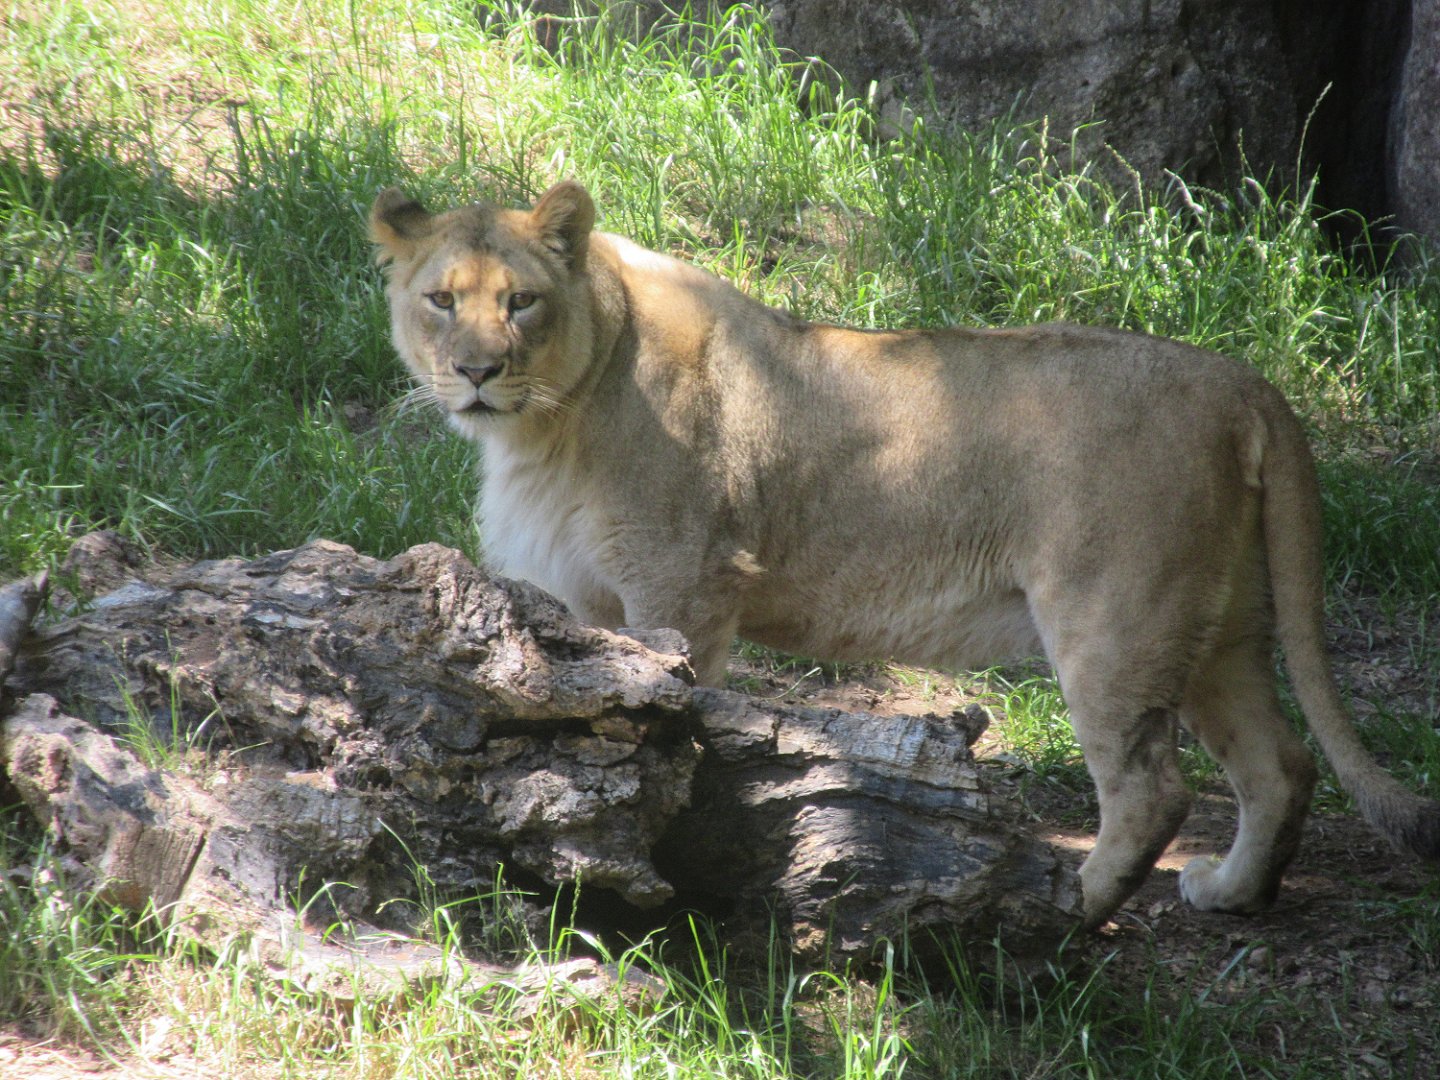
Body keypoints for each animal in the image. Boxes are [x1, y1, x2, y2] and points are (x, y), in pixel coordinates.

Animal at [370, 180, 1439, 928]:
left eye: (521, 302)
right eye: (441, 300)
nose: (475, 372)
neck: (548, 423)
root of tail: (1245, 384)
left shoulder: (683, 587)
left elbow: (675, 719)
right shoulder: (583, 604)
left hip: (1117, 618)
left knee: (1152, 790)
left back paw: (1069, 910)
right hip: (1219, 625)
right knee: (1280, 764)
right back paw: (1232, 892)